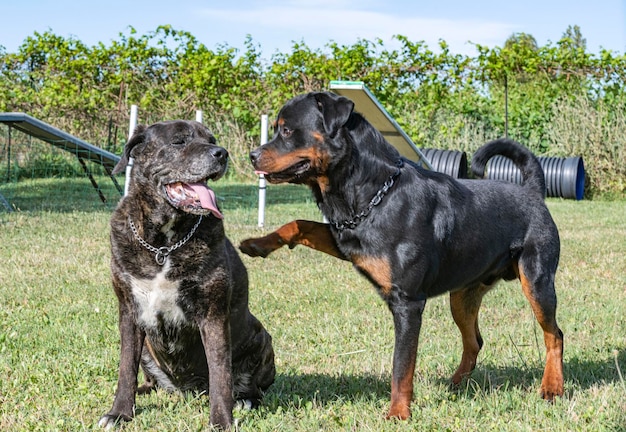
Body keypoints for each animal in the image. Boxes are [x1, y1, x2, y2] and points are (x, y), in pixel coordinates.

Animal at [98, 120, 272, 430]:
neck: (164, 243)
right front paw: (119, 413)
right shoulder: (129, 313)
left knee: (253, 387)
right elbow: (125, 368)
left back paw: (245, 400)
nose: (221, 153)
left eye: (211, 140)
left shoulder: (213, 316)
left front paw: (222, 420)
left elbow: (220, 374)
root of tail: (186, 390)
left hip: (262, 337)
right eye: (179, 141)